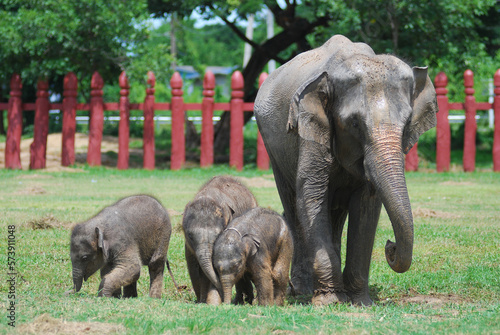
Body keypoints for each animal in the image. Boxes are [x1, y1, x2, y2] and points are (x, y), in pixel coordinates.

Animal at [254, 34, 438, 308]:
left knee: (335, 214)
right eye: (354, 123)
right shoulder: (311, 130)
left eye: (407, 124)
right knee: (293, 205)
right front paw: (330, 300)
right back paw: (303, 289)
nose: (390, 245)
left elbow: (367, 203)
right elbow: (311, 194)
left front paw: (360, 301)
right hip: (272, 145)